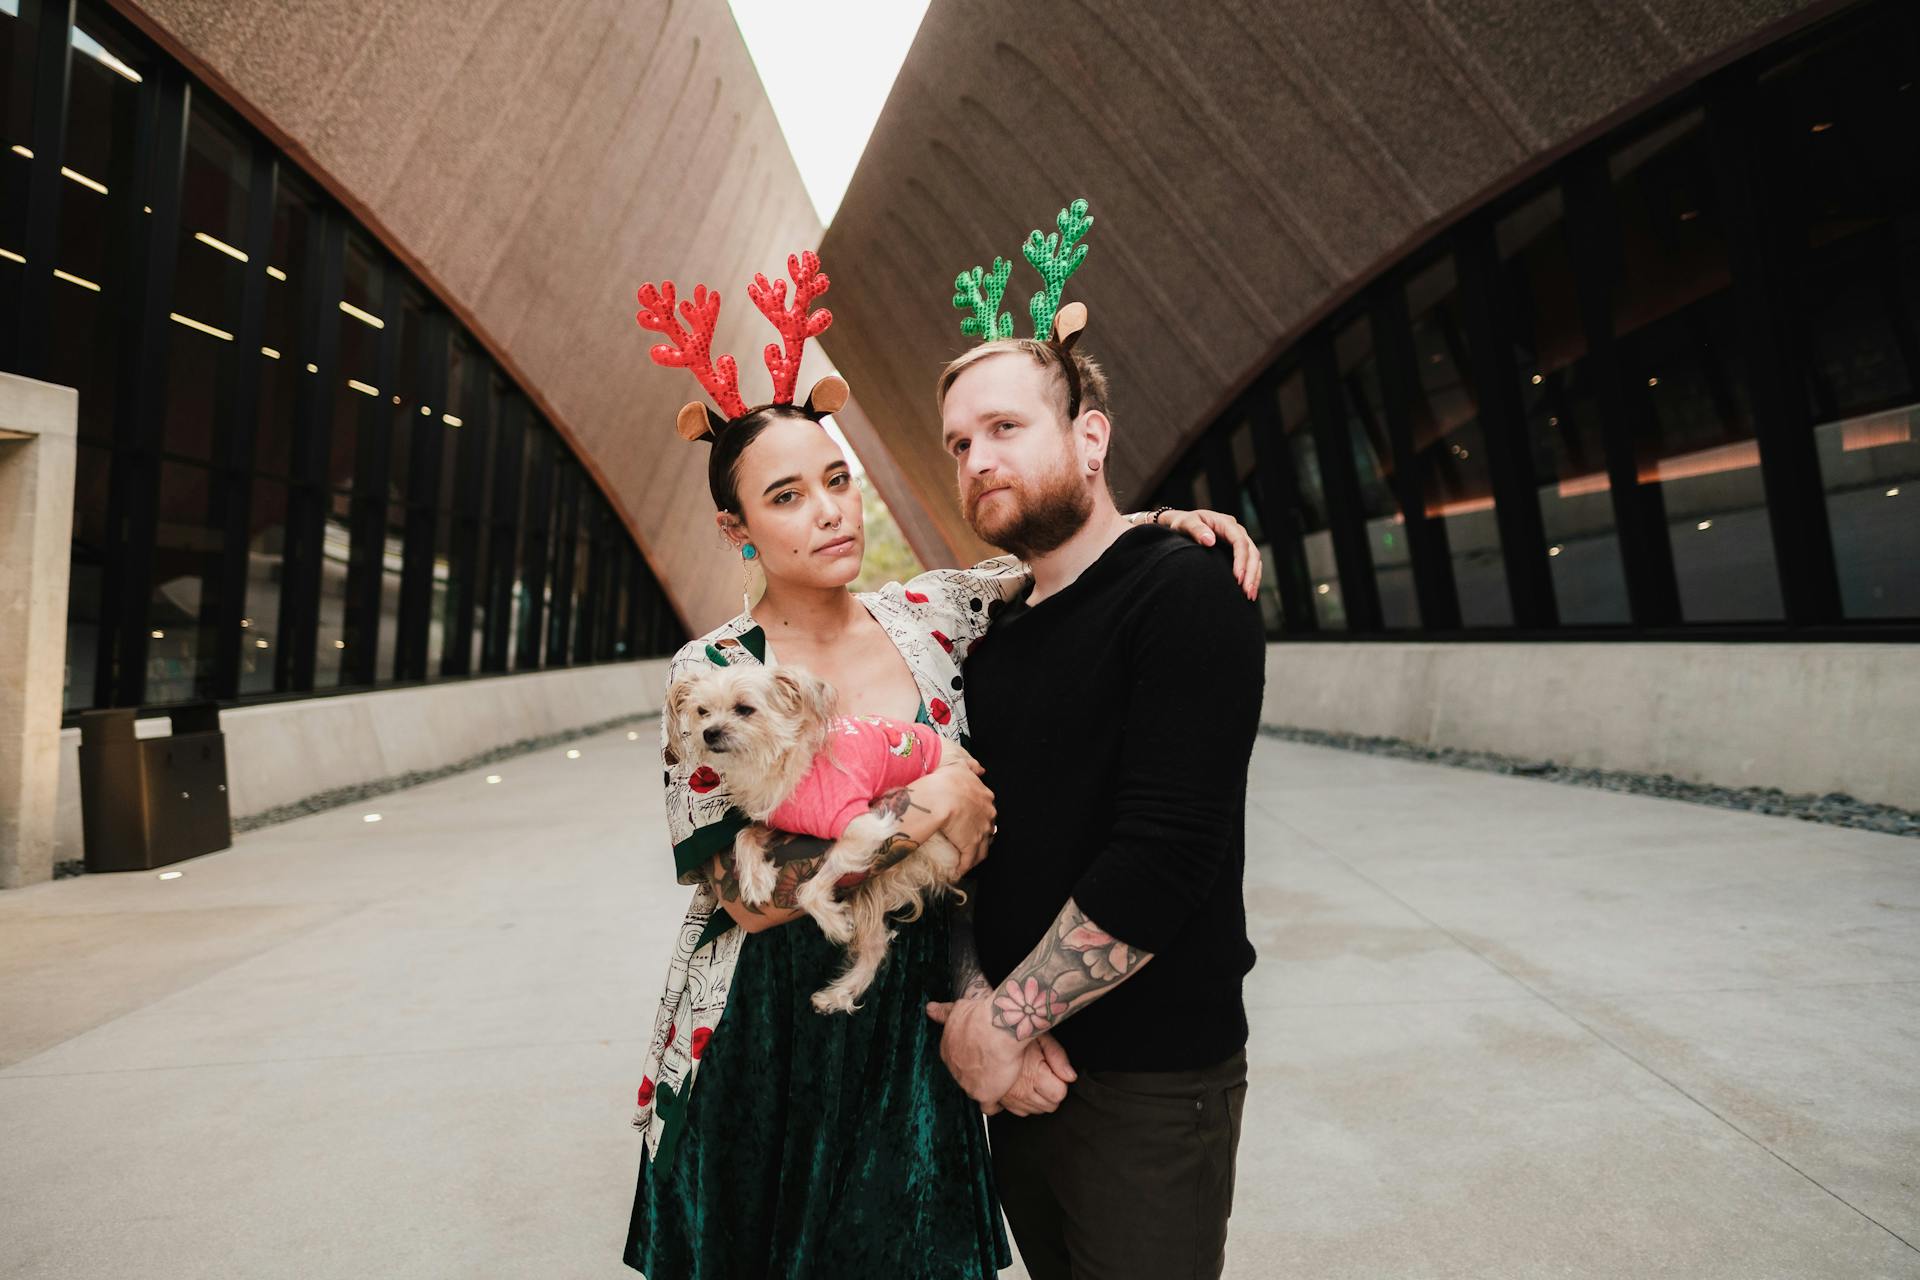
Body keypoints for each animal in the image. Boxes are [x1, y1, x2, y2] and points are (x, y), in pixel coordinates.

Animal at [664, 667, 975, 1013]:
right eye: (702, 711)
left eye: (744, 709)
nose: (709, 732)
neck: (782, 762)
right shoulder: (781, 823)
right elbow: (745, 834)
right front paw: (755, 879)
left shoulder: (863, 828)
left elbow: (807, 890)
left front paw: (835, 924)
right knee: (875, 944)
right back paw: (839, 994)